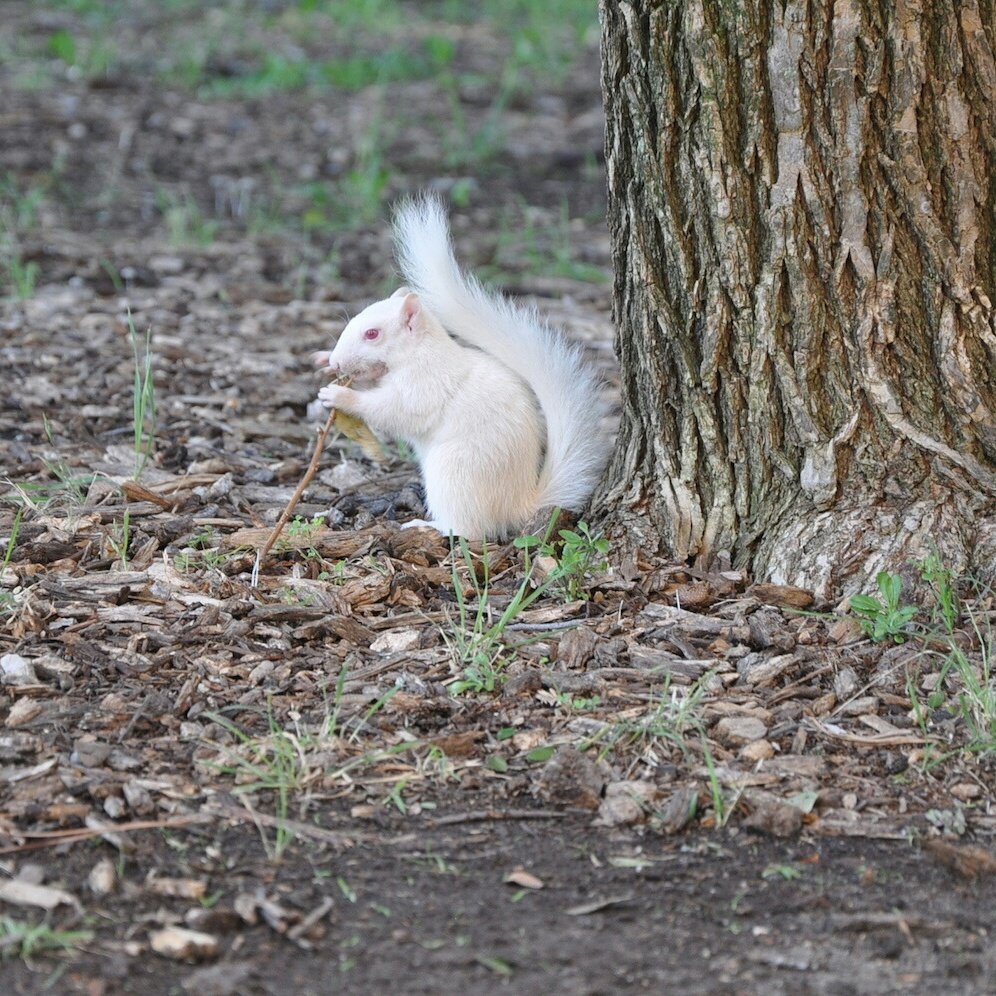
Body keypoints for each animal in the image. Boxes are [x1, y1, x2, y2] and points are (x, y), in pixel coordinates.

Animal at [315, 194, 610, 539]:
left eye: (372, 334)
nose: (336, 361)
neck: (417, 353)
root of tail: (518, 505)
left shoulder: (425, 385)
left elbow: (396, 411)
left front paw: (339, 395)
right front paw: (322, 361)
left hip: (455, 473)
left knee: (468, 529)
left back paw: (427, 525)